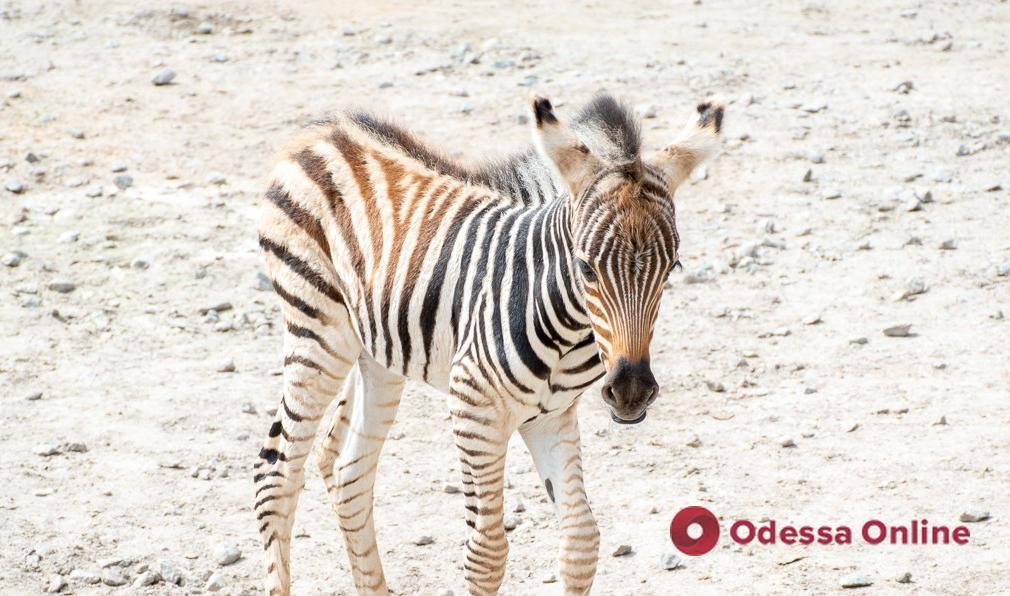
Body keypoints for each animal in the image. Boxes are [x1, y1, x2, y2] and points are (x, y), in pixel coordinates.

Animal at [254, 90, 727, 593]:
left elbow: (581, 541)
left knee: (348, 471)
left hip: (377, 350)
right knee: (275, 475)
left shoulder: (552, 416)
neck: (568, 329)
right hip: (318, 331)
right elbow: (486, 554)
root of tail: (321, 132)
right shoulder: (474, 406)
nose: (631, 391)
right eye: (585, 267)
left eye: (673, 268)